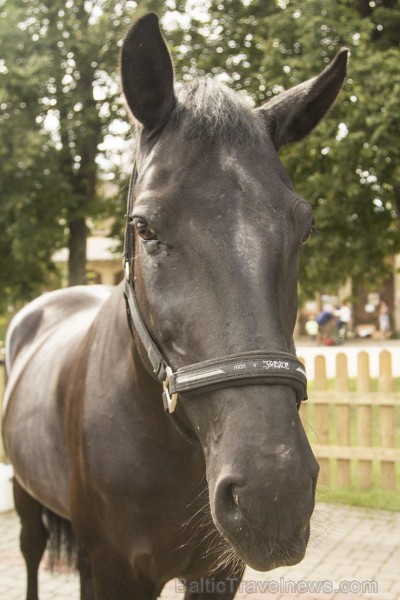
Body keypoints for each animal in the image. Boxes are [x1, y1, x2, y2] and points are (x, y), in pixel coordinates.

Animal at [1, 14, 346, 600]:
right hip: (28, 499)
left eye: (305, 227)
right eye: (145, 228)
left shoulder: (217, 572)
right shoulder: (121, 571)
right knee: (29, 550)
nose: (274, 496)